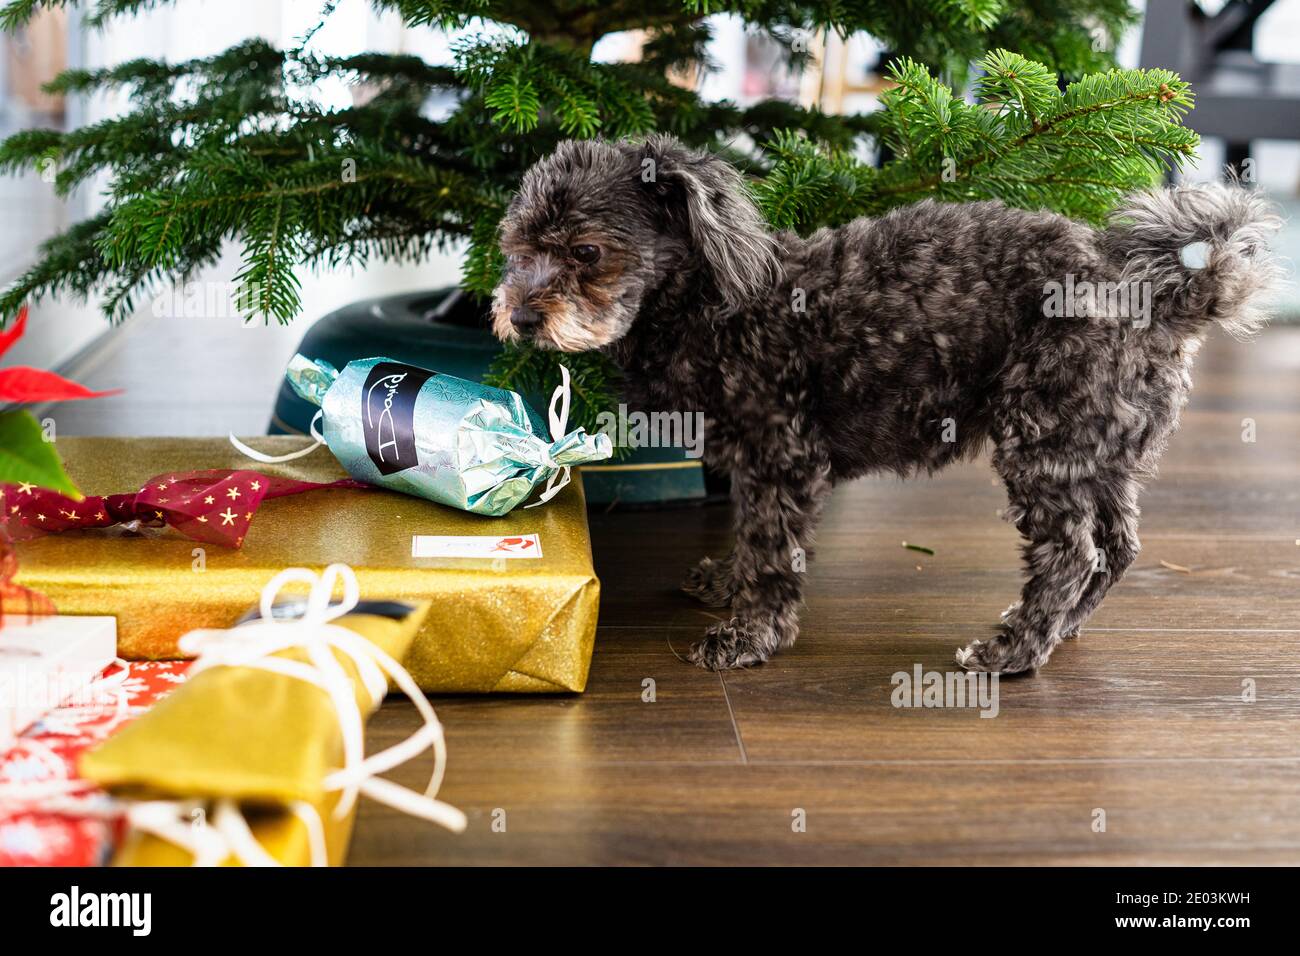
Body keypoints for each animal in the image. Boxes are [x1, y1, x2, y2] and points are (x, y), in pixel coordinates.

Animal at [491, 136, 1284, 671]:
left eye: (587, 252)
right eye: (516, 246)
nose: (520, 317)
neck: (713, 303)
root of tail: (1156, 295)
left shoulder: (783, 453)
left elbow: (773, 552)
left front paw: (750, 635)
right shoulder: (749, 463)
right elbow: (749, 536)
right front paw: (726, 584)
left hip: (1043, 441)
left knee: (1070, 552)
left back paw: (1015, 650)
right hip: (1099, 448)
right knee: (1116, 548)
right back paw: (1059, 630)